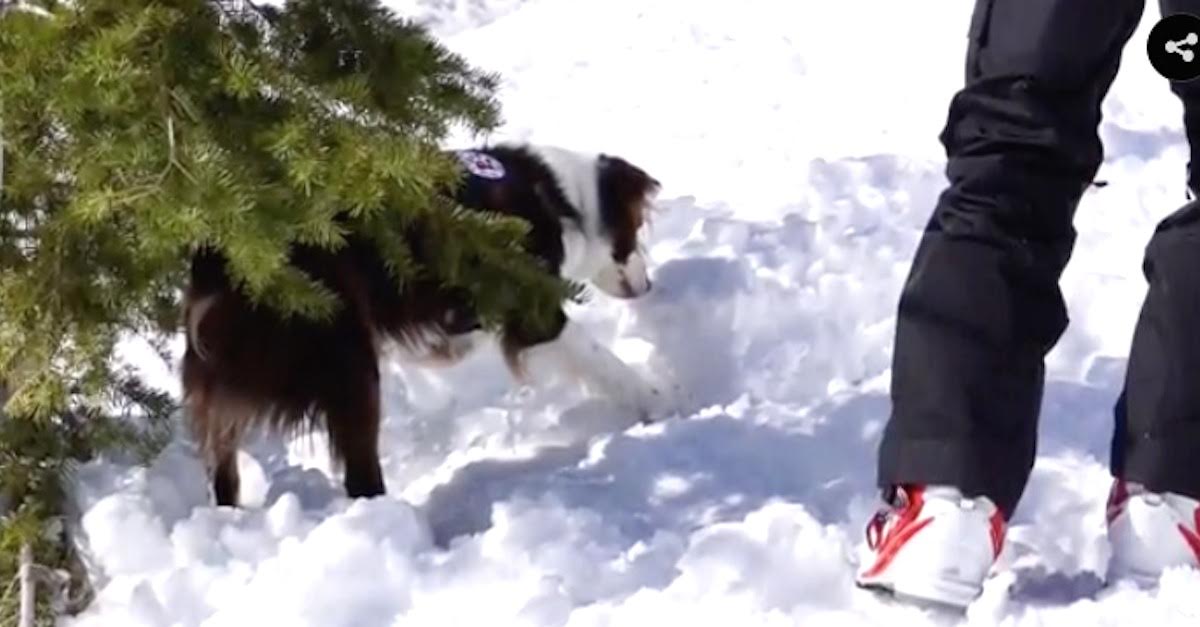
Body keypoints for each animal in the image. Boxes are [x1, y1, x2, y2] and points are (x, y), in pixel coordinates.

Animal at [180, 140, 667, 502]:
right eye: (635, 234)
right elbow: (601, 360)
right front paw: (662, 402)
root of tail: (219, 260)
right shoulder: (531, 309)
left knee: (223, 469)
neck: (557, 197)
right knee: (359, 473)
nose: (648, 285)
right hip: (344, 356)